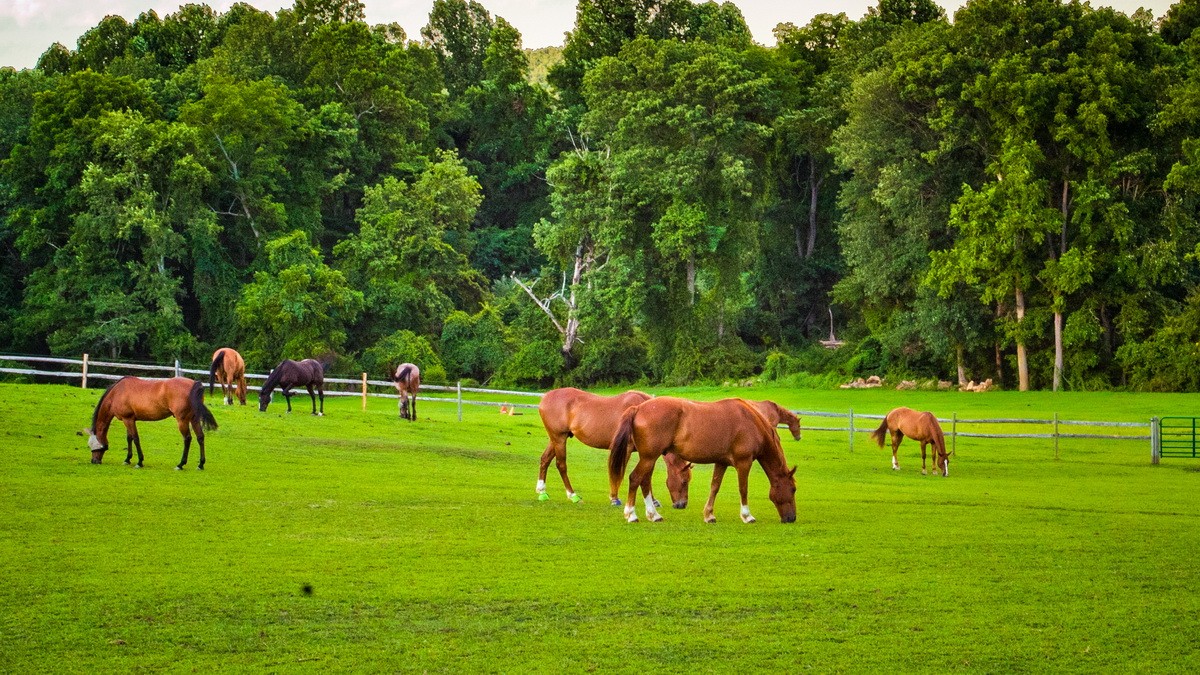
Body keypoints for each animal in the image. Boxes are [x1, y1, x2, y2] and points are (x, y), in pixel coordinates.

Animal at [87, 374, 218, 470]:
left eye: (92, 446)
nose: (94, 461)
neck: (117, 392)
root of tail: (194, 384)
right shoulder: (129, 419)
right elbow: (129, 438)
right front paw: (127, 459)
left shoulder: (128, 419)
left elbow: (135, 438)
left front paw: (139, 462)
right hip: (194, 419)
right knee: (200, 437)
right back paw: (200, 464)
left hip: (182, 420)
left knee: (187, 439)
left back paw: (180, 464)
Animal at [537, 384, 696, 504]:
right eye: (684, 481)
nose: (681, 504)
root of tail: (546, 397)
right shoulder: (626, 449)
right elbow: (619, 472)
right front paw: (614, 498)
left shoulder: (648, 454)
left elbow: (646, 475)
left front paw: (653, 500)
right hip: (559, 439)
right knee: (561, 465)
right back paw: (572, 495)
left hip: (556, 439)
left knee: (545, 459)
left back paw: (542, 492)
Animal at [609, 396, 796, 523]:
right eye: (793, 489)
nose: (791, 518)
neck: (750, 422)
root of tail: (638, 408)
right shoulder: (744, 462)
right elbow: (743, 489)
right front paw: (747, 515)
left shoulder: (721, 462)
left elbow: (714, 487)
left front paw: (709, 515)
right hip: (649, 457)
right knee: (635, 478)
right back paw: (631, 514)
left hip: (650, 458)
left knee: (645, 481)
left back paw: (654, 515)